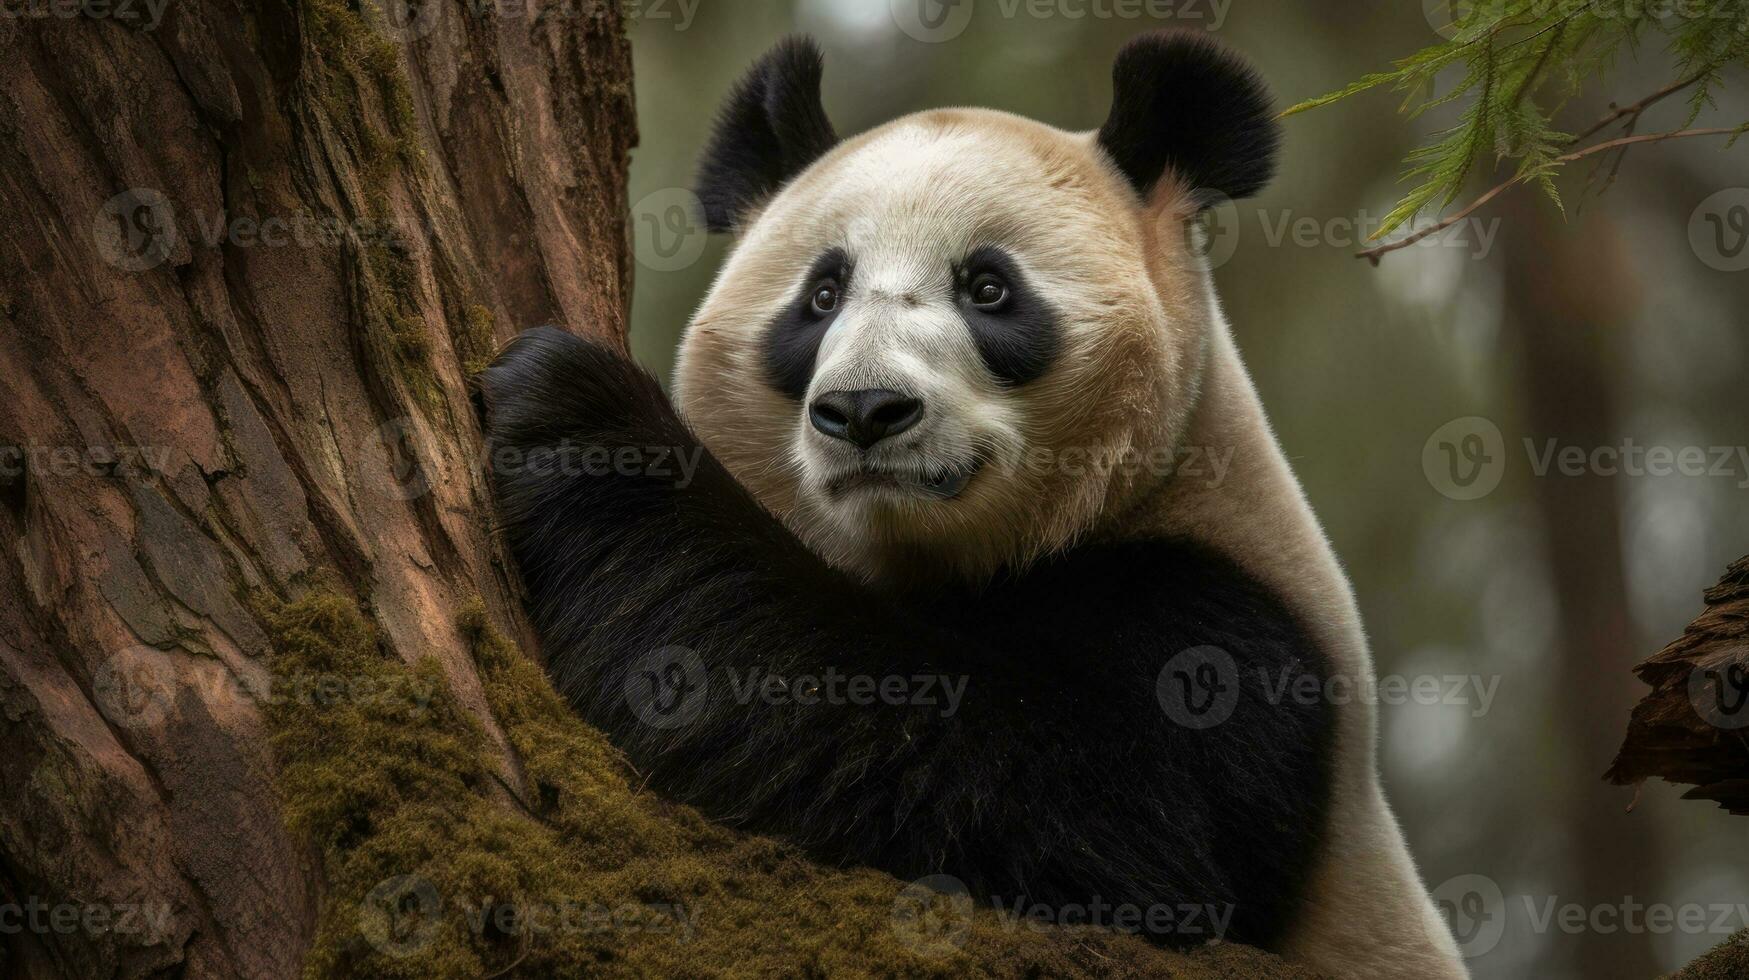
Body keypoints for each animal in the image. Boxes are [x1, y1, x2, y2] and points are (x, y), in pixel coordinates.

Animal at [475, 30, 1462, 980]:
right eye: (821, 294)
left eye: (988, 288)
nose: (865, 410)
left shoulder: (1229, 639)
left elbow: (1079, 822)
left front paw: (575, 411)